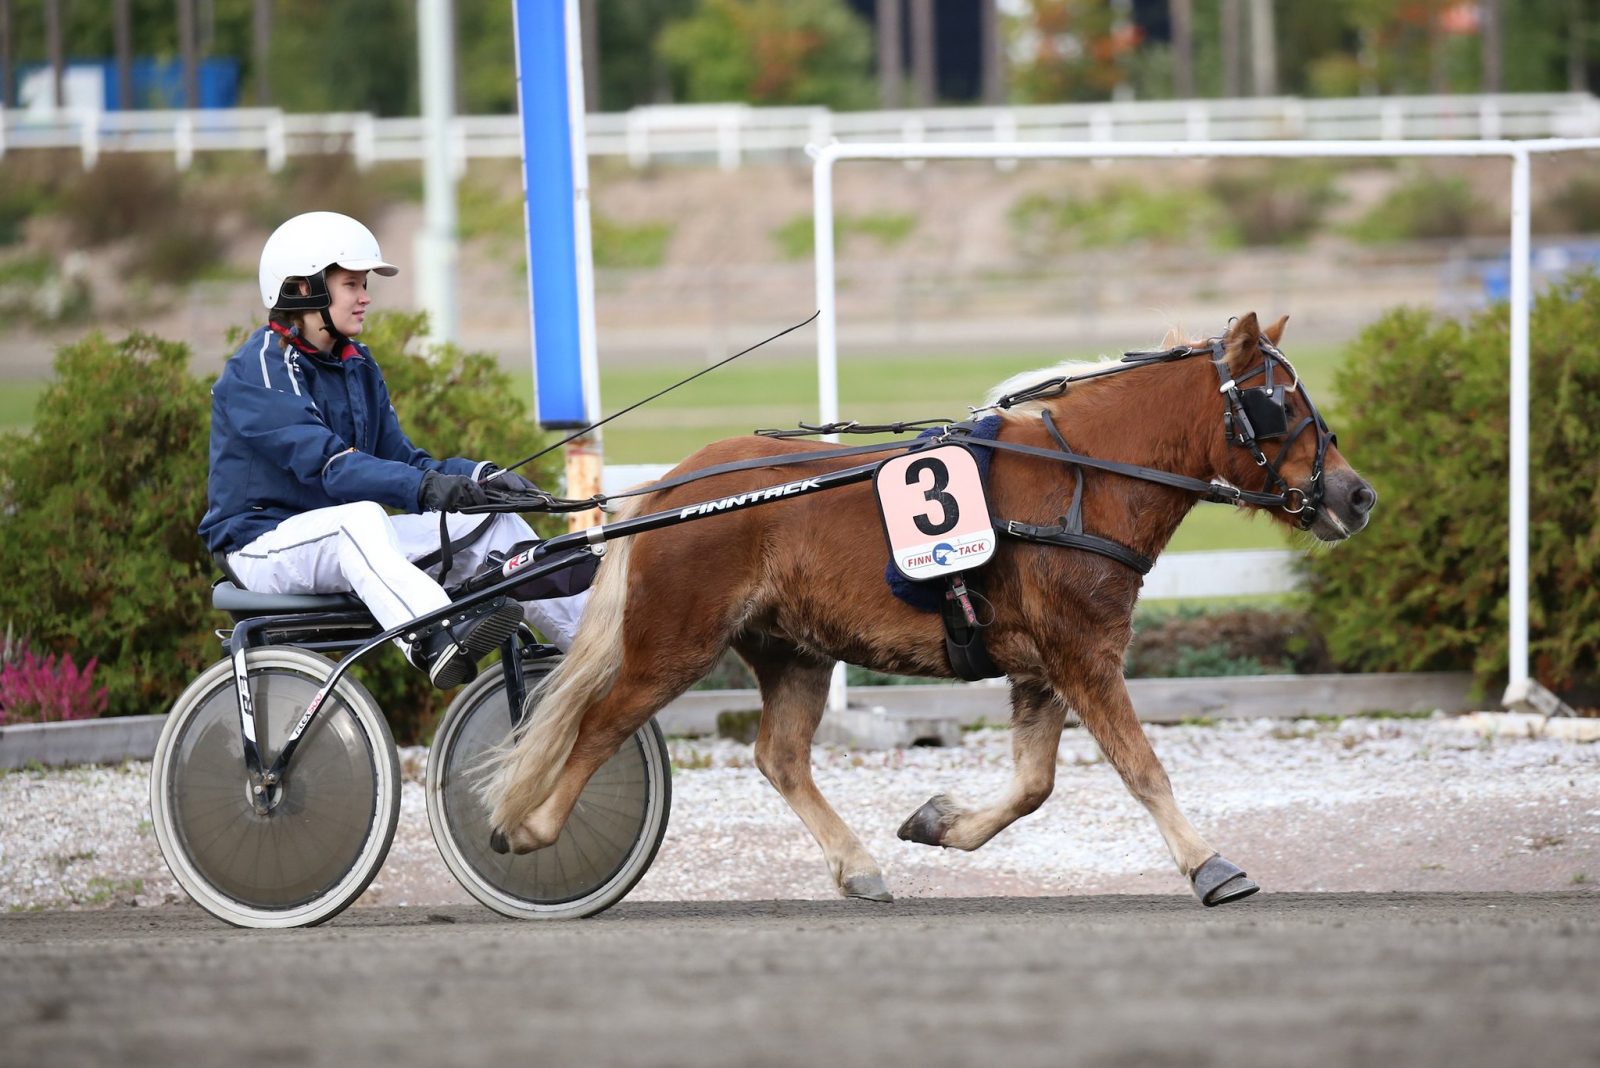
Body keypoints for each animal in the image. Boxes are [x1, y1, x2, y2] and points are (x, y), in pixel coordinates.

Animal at [473, 313, 1376, 908]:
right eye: (1281, 406)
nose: (1356, 495)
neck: (1085, 477)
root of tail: (673, 486)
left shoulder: (1043, 665)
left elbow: (1034, 785)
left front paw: (940, 823)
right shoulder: (1084, 652)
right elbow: (1141, 768)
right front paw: (1210, 865)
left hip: (795, 650)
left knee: (779, 757)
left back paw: (856, 864)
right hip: (674, 644)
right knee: (599, 724)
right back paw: (532, 828)